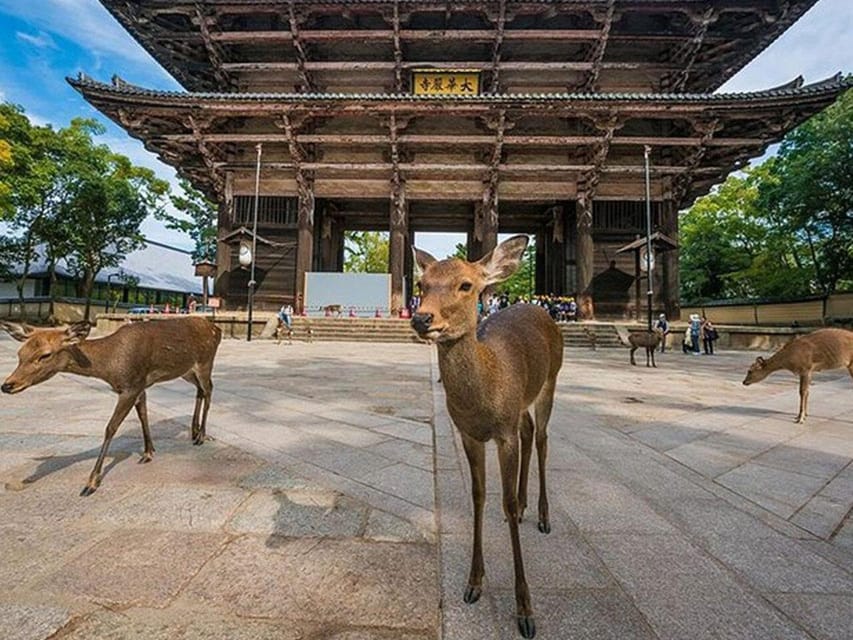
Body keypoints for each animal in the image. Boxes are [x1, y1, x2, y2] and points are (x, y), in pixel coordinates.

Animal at [1, 316, 222, 495]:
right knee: (200, 390)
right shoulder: (139, 385)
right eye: (20, 353)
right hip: (186, 370)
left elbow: (111, 427)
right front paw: (148, 452)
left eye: (45, 355)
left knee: (209, 389)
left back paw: (201, 435)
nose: (7, 385)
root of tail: (216, 329)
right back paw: (193, 432)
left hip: (205, 362)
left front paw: (91, 483)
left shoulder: (130, 387)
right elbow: (143, 415)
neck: (110, 365)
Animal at [411, 235, 563, 639]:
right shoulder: (469, 433)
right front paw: (473, 583)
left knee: (542, 437)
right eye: (421, 284)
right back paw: (527, 506)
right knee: (529, 431)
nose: (421, 318)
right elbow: (478, 496)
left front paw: (525, 611)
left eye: (466, 285)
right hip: (522, 404)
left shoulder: (503, 432)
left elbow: (504, 502)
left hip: (551, 379)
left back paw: (542, 515)